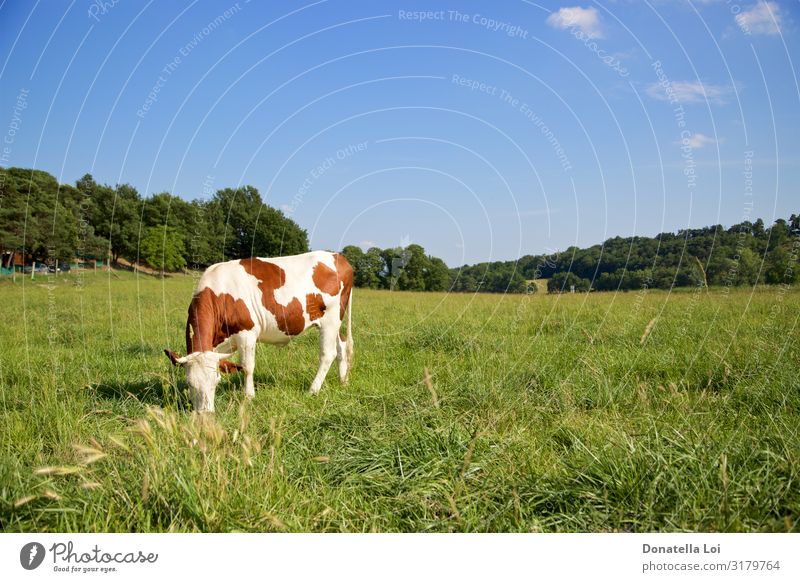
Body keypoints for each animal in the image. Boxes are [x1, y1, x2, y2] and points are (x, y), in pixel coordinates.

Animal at [165, 253, 354, 412]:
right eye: (189, 383)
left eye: (216, 382)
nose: (205, 414)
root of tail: (338, 255)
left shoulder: (247, 333)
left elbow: (247, 367)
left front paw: (249, 396)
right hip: (336, 322)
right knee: (341, 347)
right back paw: (343, 382)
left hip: (331, 318)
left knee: (327, 354)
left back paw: (313, 390)